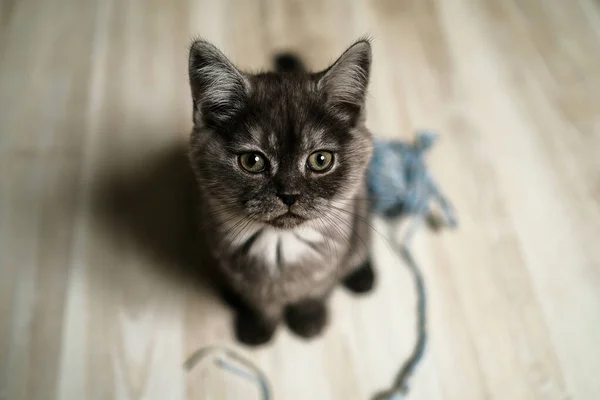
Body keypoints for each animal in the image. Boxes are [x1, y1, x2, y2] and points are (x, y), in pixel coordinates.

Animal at [188, 37, 376, 346]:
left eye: (321, 160)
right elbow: (260, 302)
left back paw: (363, 277)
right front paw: (260, 328)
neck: (279, 244)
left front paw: (309, 319)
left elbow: (317, 291)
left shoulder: (330, 263)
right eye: (252, 161)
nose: (289, 194)